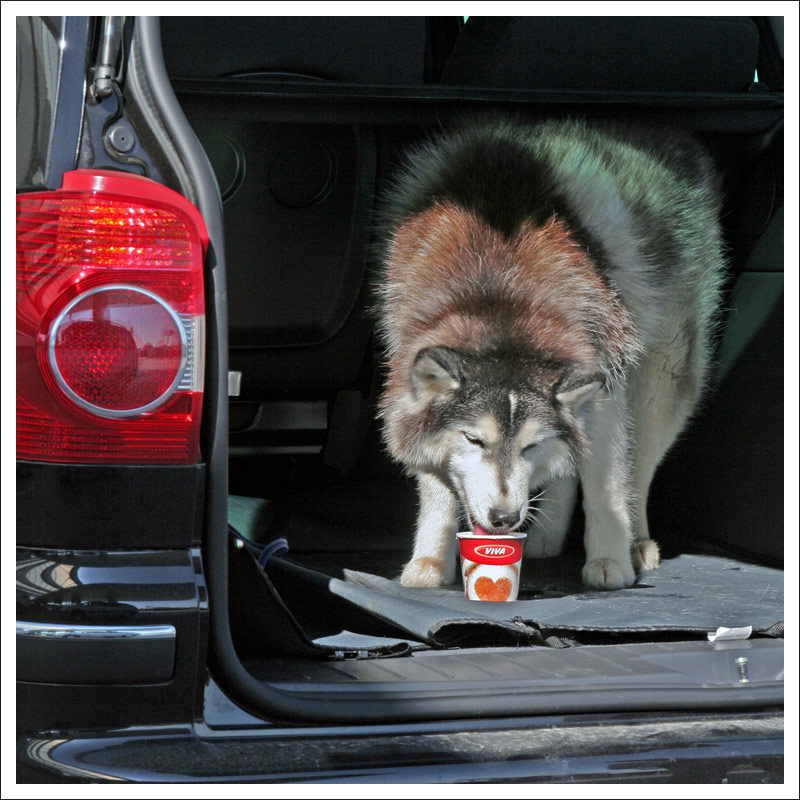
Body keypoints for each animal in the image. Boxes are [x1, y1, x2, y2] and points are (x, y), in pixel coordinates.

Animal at [372, 120, 728, 592]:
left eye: (531, 446)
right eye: (473, 440)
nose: (505, 518)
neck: (497, 290)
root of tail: (679, 138)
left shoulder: (604, 385)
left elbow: (607, 487)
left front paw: (610, 561)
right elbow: (438, 491)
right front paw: (429, 563)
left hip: (660, 382)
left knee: (638, 465)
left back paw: (636, 543)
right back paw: (545, 538)